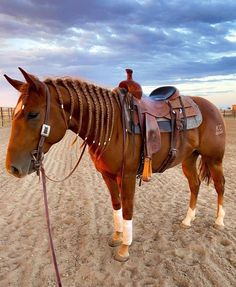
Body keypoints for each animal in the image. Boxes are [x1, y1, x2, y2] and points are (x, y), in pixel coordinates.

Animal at [3, 68, 225, 264]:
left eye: (33, 114)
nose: (12, 168)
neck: (113, 124)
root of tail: (212, 107)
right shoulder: (107, 175)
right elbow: (116, 205)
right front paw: (117, 237)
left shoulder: (127, 176)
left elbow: (127, 209)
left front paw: (124, 249)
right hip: (189, 159)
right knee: (195, 185)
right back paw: (188, 220)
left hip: (214, 159)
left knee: (220, 185)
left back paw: (219, 221)